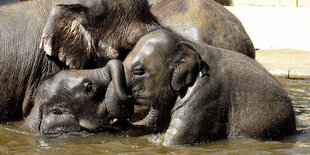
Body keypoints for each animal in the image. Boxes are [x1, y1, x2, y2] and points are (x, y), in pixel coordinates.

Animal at [108, 28, 296, 145]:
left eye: (139, 71)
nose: (114, 120)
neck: (188, 43)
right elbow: (152, 123)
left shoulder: (206, 94)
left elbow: (177, 138)